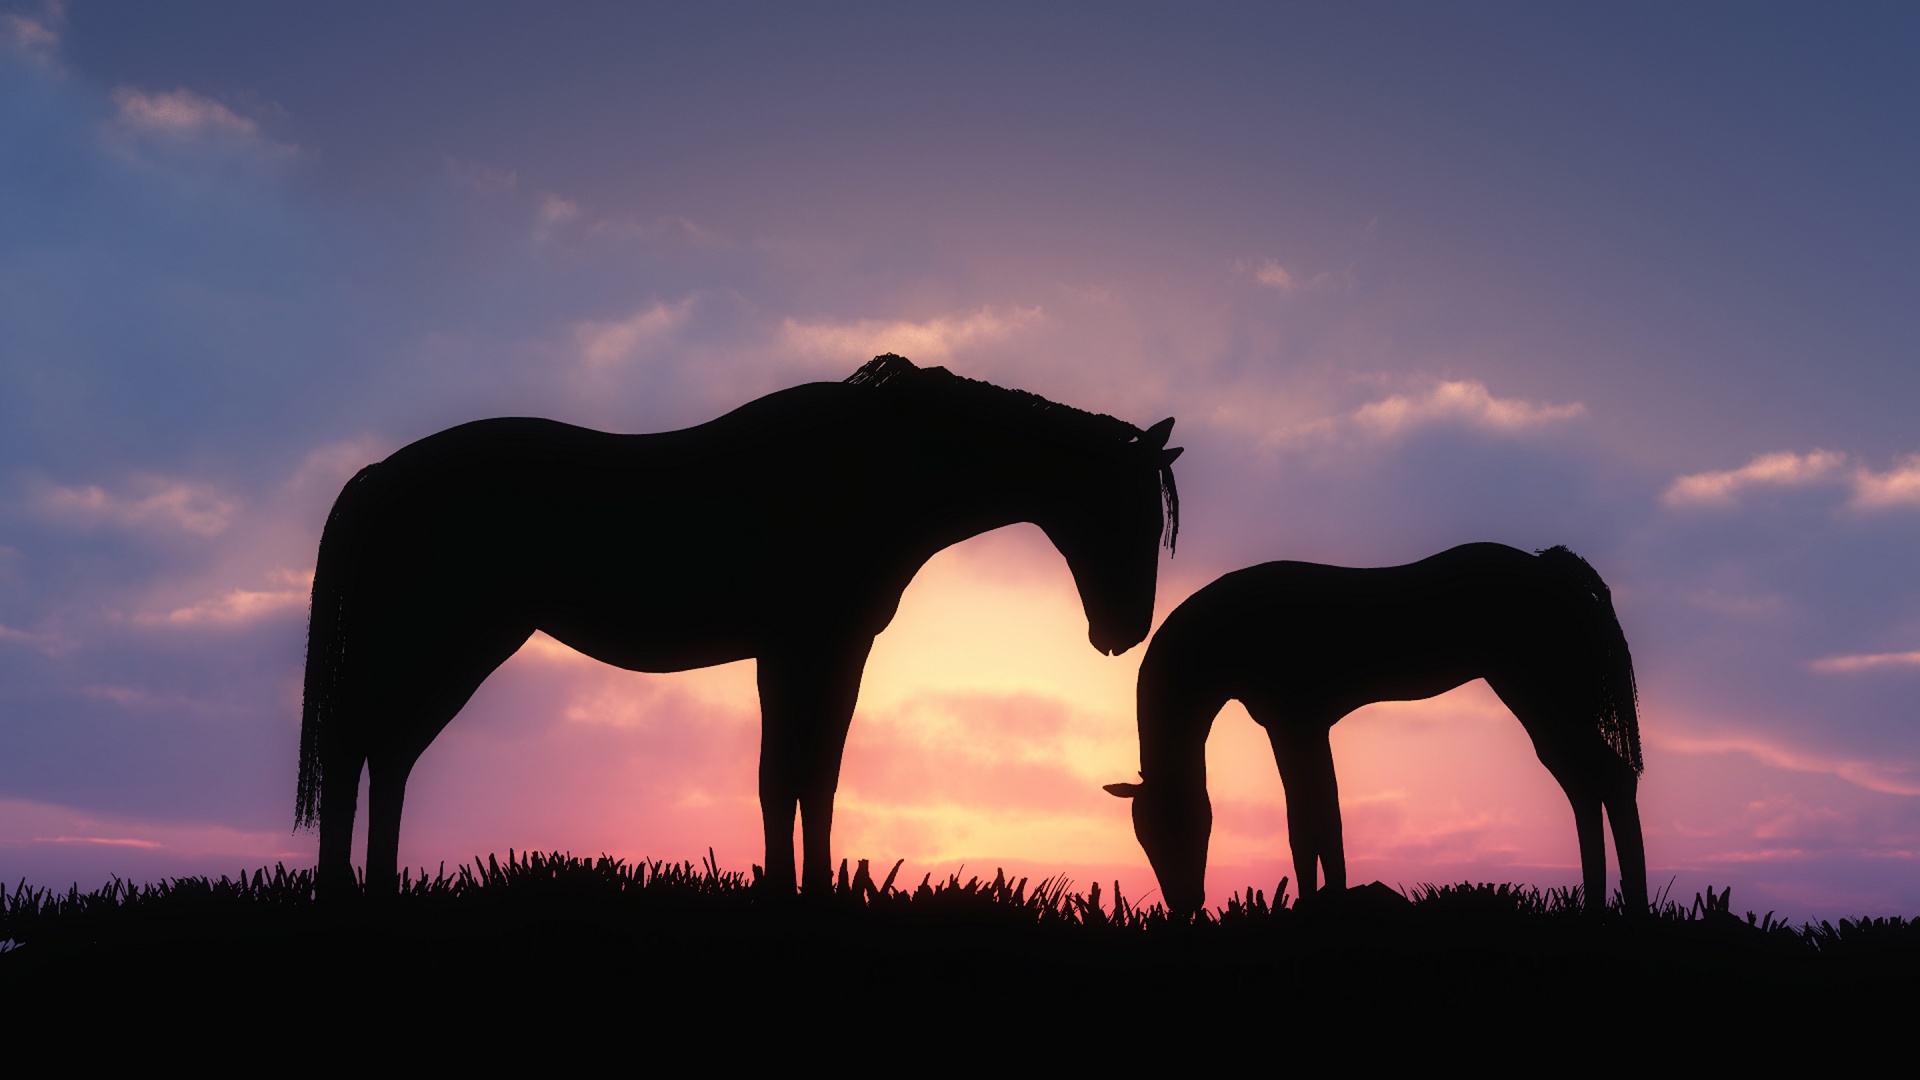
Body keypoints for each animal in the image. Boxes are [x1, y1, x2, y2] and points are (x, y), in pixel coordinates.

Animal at [295, 353, 1182, 891]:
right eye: (1133, 511)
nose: (1123, 633)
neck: (873, 472)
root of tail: (379, 475)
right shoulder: (814, 647)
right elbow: (797, 774)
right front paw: (803, 893)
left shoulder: (802, 653)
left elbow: (798, 776)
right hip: (446, 641)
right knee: (364, 750)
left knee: (385, 754)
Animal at [1105, 541, 1643, 910]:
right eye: (1143, 837)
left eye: (1179, 824)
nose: (1183, 906)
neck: (1233, 631)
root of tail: (1553, 566)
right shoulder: (1299, 727)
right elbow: (1316, 820)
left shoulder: (1297, 724)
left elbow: (1313, 821)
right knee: (1584, 785)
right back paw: (1597, 903)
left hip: (1542, 697)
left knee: (1607, 780)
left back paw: (1630, 905)